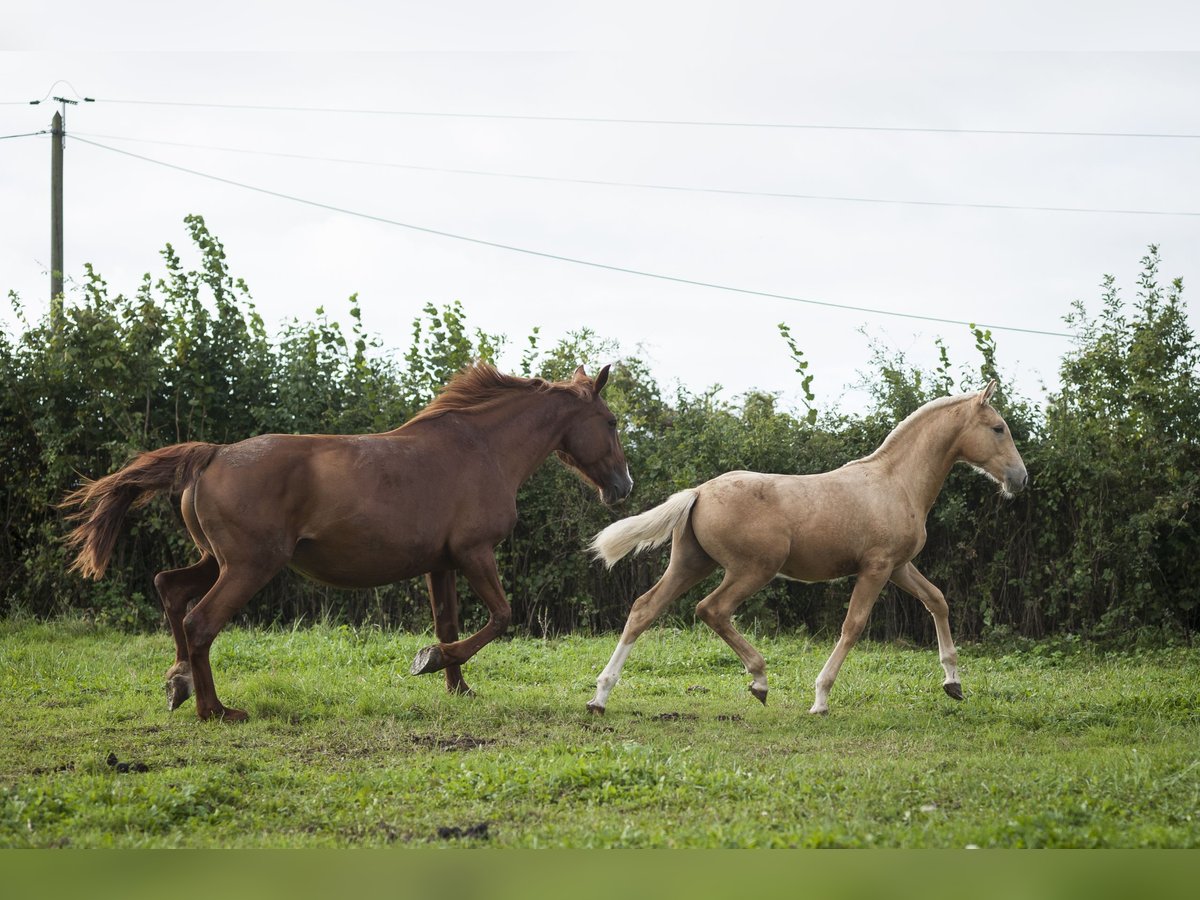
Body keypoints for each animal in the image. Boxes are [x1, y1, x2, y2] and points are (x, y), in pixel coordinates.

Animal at [64, 362, 633, 724]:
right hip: (248, 566)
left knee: (170, 589)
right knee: (200, 621)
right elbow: (500, 617)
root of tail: (212, 455)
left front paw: (458, 687)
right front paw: (429, 661)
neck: (481, 449)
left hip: (217, 560)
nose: (623, 486)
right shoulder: (475, 553)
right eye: (610, 421)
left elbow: (449, 623)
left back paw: (179, 684)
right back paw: (216, 711)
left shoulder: (442, 563)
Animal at [585, 381, 1027, 720]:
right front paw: (820, 699)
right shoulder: (876, 567)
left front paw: (953, 682)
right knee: (711, 609)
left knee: (644, 609)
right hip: (753, 569)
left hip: (691, 564)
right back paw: (759, 680)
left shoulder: (900, 566)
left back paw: (600, 696)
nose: (1020, 478)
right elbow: (853, 626)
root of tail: (698, 492)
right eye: (998, 428)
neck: (895, 482)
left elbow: (937, 601)